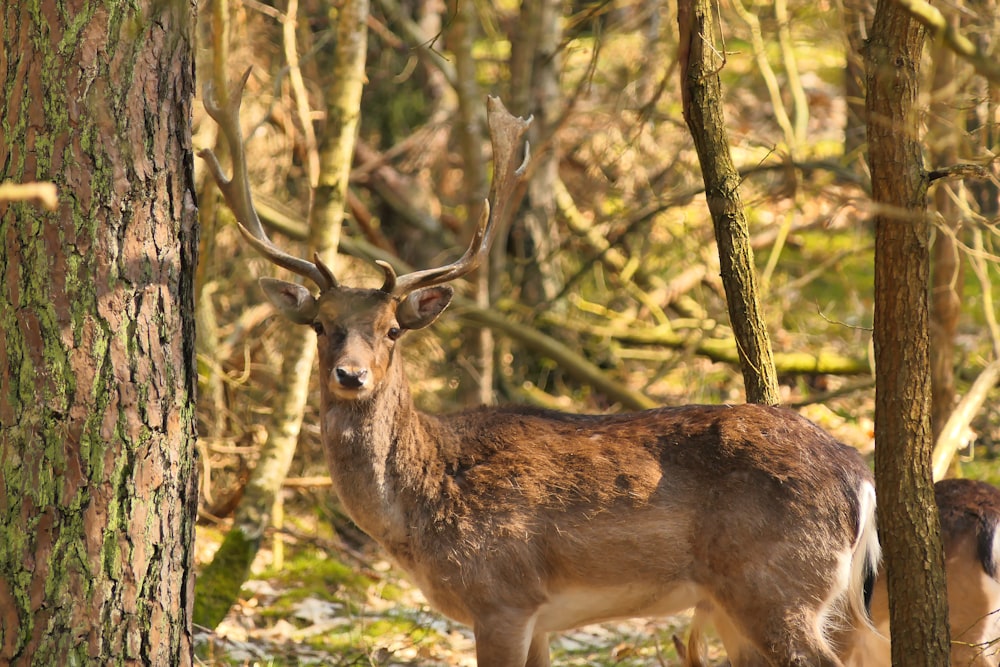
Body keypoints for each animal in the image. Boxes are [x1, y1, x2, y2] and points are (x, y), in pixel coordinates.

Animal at [199, 69, 880, 667]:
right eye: (321, 326)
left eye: (392, 329)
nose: (350, 376)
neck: (419, 508)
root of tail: (859, 475)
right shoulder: (540, 621)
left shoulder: (502, 594)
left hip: (774, 585)